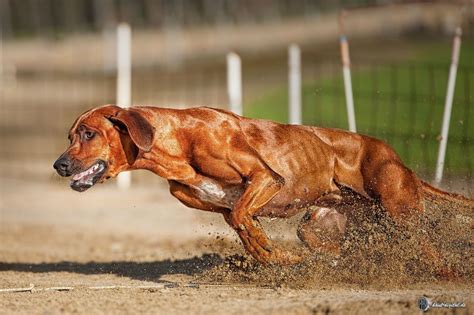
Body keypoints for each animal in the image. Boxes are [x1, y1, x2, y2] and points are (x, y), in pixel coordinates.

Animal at [53, 106, 472, 266]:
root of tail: (401, 161)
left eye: (89, 134)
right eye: (70, 135)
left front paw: (271, 251)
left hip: (401, 214)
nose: (59, 165)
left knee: (429, 251)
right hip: (320, 226)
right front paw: (276, 258)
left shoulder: (267, 178)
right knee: (332, 249)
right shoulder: (223, 210)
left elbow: (245, 215)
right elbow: (243, 226)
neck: (176, 142)